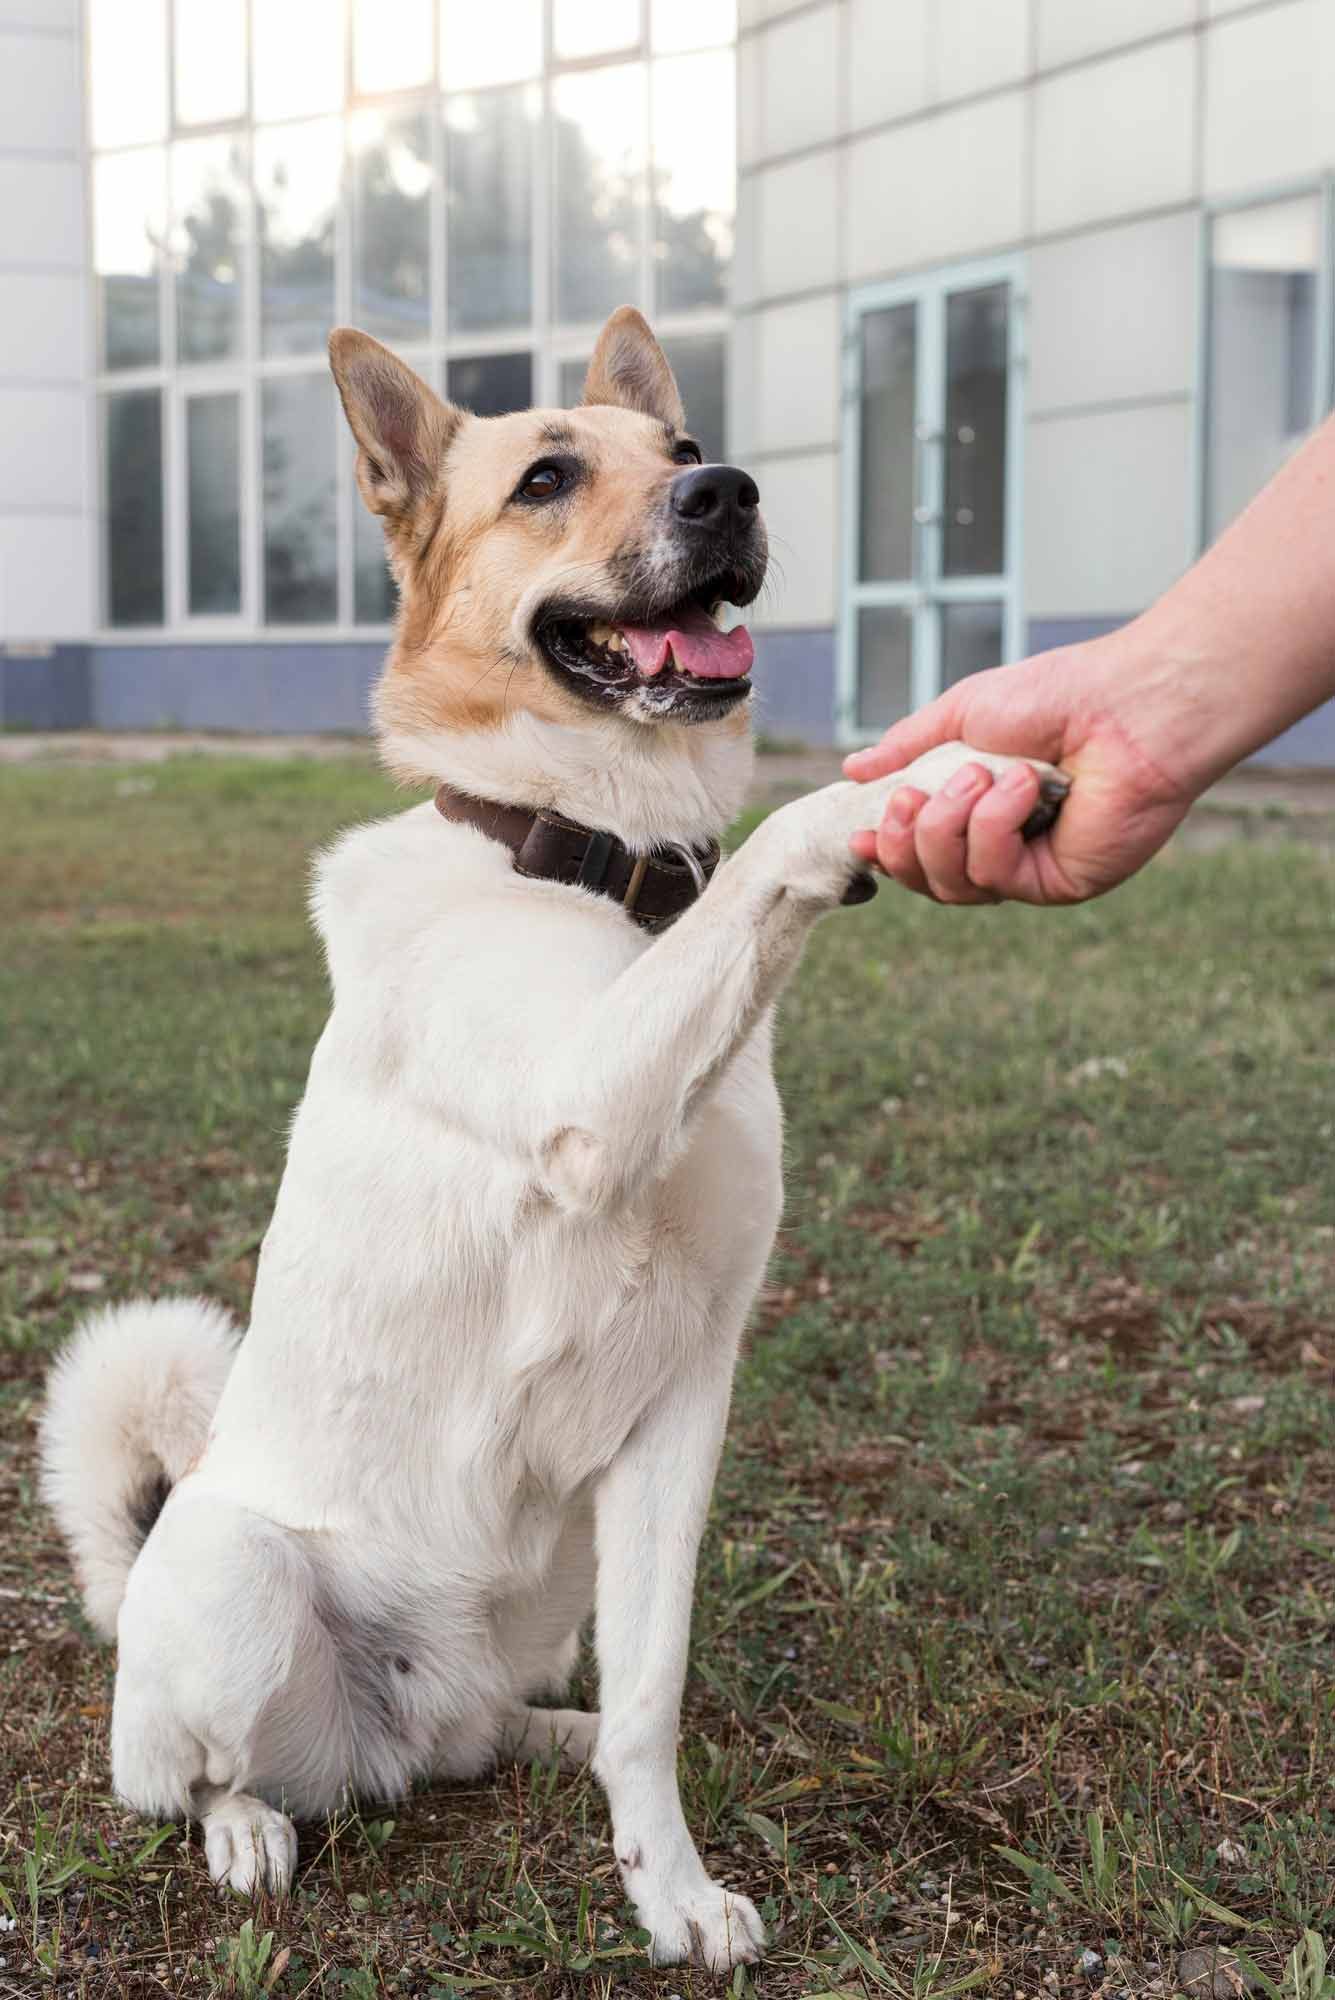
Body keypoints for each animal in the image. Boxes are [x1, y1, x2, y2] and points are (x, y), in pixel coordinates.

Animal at [39, 304, 1063, 1976]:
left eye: (684, 443)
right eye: (543, 478)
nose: (728, 491)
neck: (603, 871)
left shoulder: (676, 1412)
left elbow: (653, 1696)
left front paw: (665, 1885)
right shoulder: (594, 1094)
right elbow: (776, 844)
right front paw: (906, 783)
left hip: (548, 1594)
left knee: (499, 1731)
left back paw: (549, 1744)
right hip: (240, 1585)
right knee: (199, 1774)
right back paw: (247, 1827)